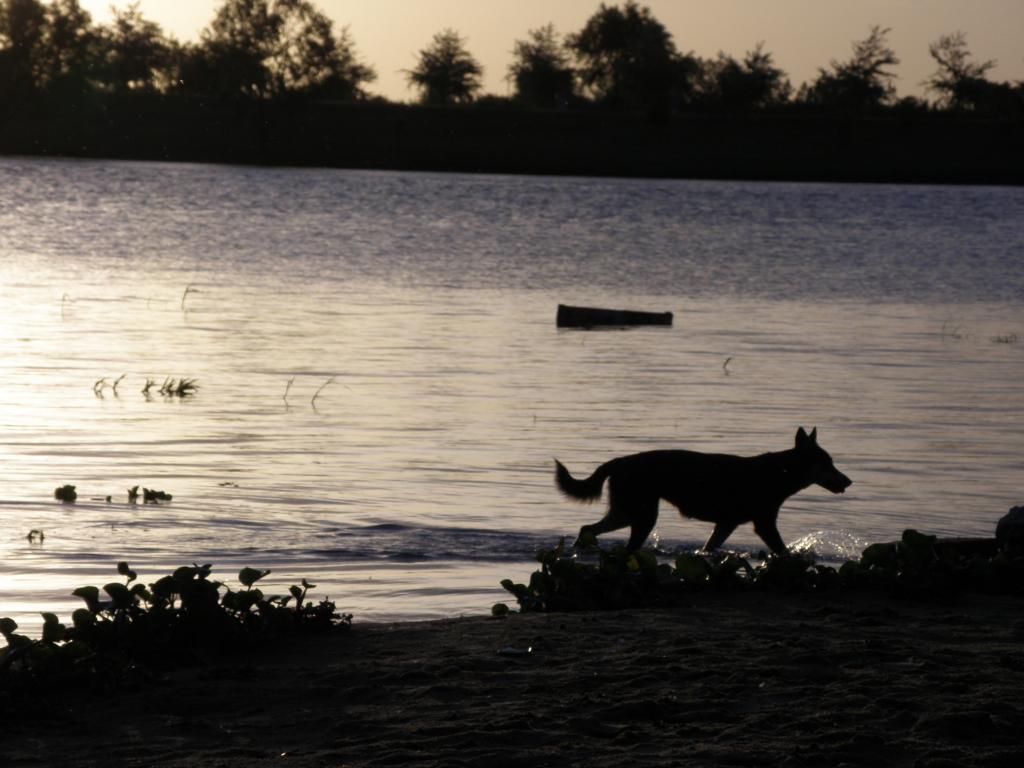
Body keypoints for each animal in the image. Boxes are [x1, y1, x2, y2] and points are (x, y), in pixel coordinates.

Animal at [557, 430, 851, 557]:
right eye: (827, 463)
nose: (849, 481)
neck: (779, 472)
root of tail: (619, 461)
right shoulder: (764, 524)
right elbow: (783, 551)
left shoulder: (726, 524)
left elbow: (709, 546)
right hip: (639, 515)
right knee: (615, 540)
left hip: (628, 513)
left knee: (587, 528)